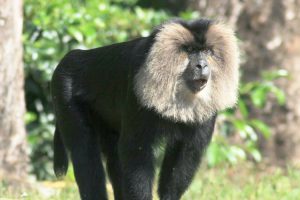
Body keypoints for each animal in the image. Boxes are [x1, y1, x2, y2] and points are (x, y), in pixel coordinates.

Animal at [51, 19, 239, 200]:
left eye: (207, 51)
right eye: (189, 50)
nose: (202, 65)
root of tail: (72, 56)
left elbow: (185, 155)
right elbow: (136, 151)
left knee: (113, 155)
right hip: (63, 89)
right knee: (85, 153)